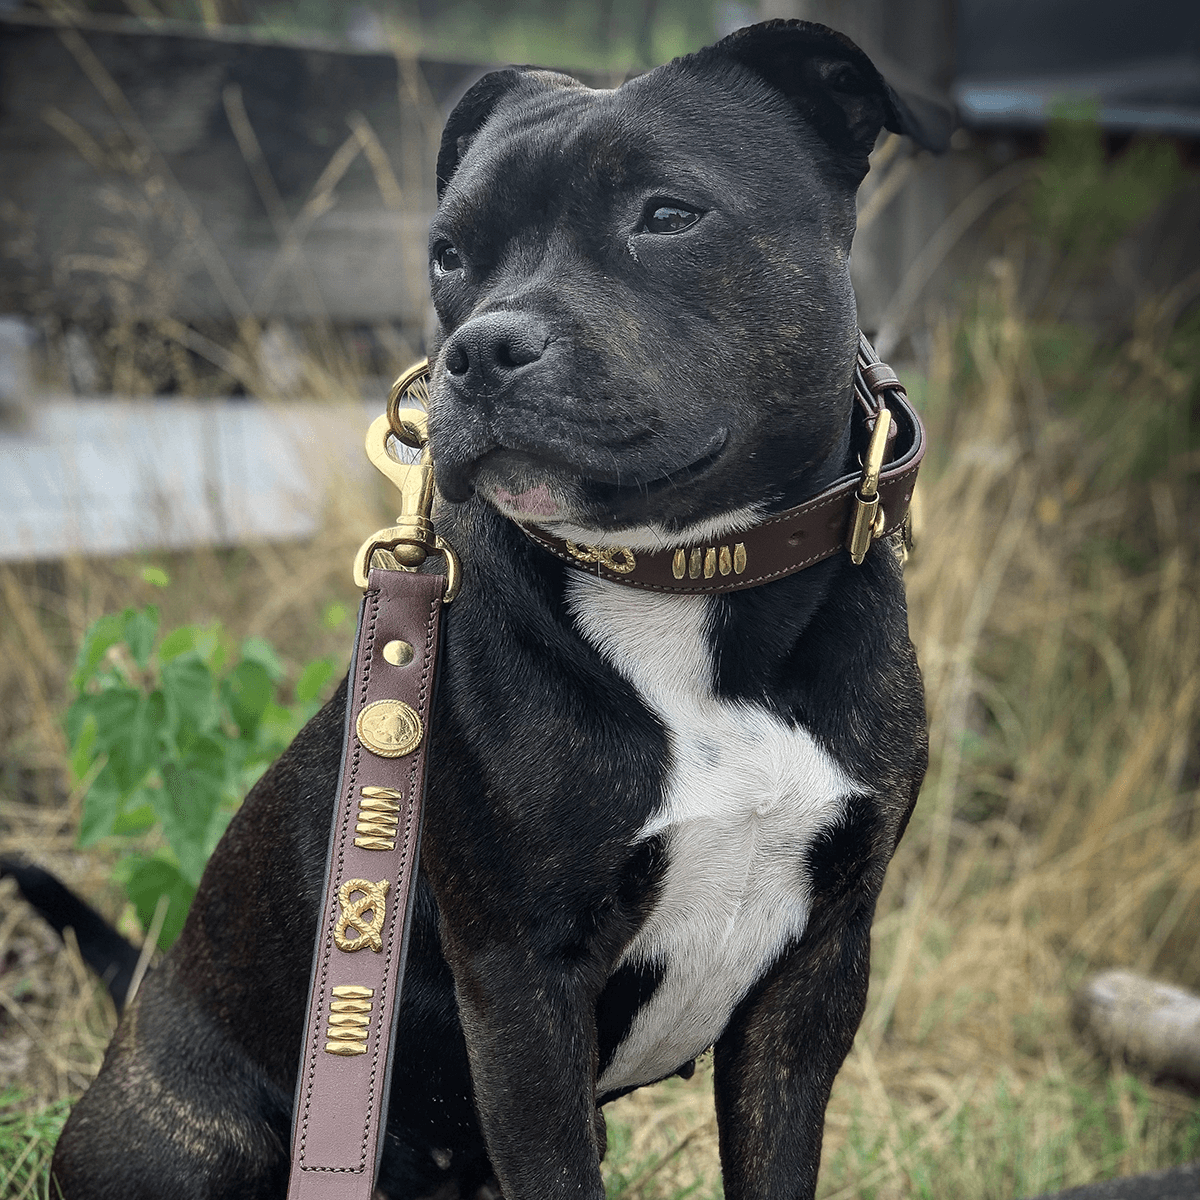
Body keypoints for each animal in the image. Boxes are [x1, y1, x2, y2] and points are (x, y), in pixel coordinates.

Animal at [49, 18, 945, 1200]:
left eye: (668, 215)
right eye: (447, 256)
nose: (479, 347)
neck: (685, 592)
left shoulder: (816, 977)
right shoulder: (523, 990)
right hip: (198, 1138)